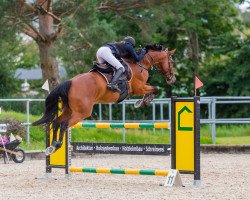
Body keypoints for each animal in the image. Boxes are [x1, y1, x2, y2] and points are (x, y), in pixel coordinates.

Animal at [32, 44, 177, 155]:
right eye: (172, 62)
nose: (172, 79)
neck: (141, 63)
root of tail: (70, 82)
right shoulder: (139, 88)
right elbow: (155, 89)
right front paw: (142, 102)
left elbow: (154, 89)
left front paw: (142, 101)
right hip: (82, 113)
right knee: (64, 124)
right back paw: (57, 145)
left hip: (69, 110)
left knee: (56, 122)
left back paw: (51, 146)